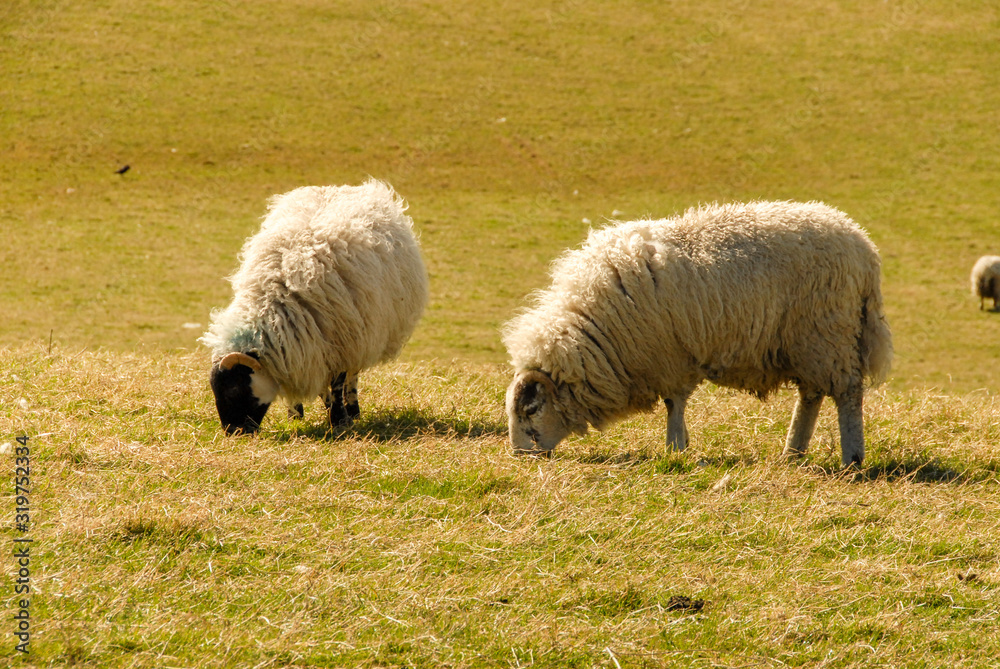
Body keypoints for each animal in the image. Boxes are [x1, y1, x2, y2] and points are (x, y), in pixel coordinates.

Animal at [200, 179, 428, 435]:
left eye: (235, 389)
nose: (234, 432)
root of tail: (341, 187)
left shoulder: (340, 343)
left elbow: (337, 384)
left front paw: (339, 419)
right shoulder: (310, 349)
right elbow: (320, 388)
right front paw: (304, 414)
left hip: (364, 330)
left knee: (353, 375)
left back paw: (353, 409)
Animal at [502, 201, 893, 467]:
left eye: (531, 408)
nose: (520, 456)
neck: (594, 330)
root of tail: (864, 247)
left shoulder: (669, 357)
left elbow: (674, 403)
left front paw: (675, 449)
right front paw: (680, 447)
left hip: (828, 333)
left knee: (847, 394)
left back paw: (852, 459)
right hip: (808, 343)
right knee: (811, 395)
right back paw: (792, 452)